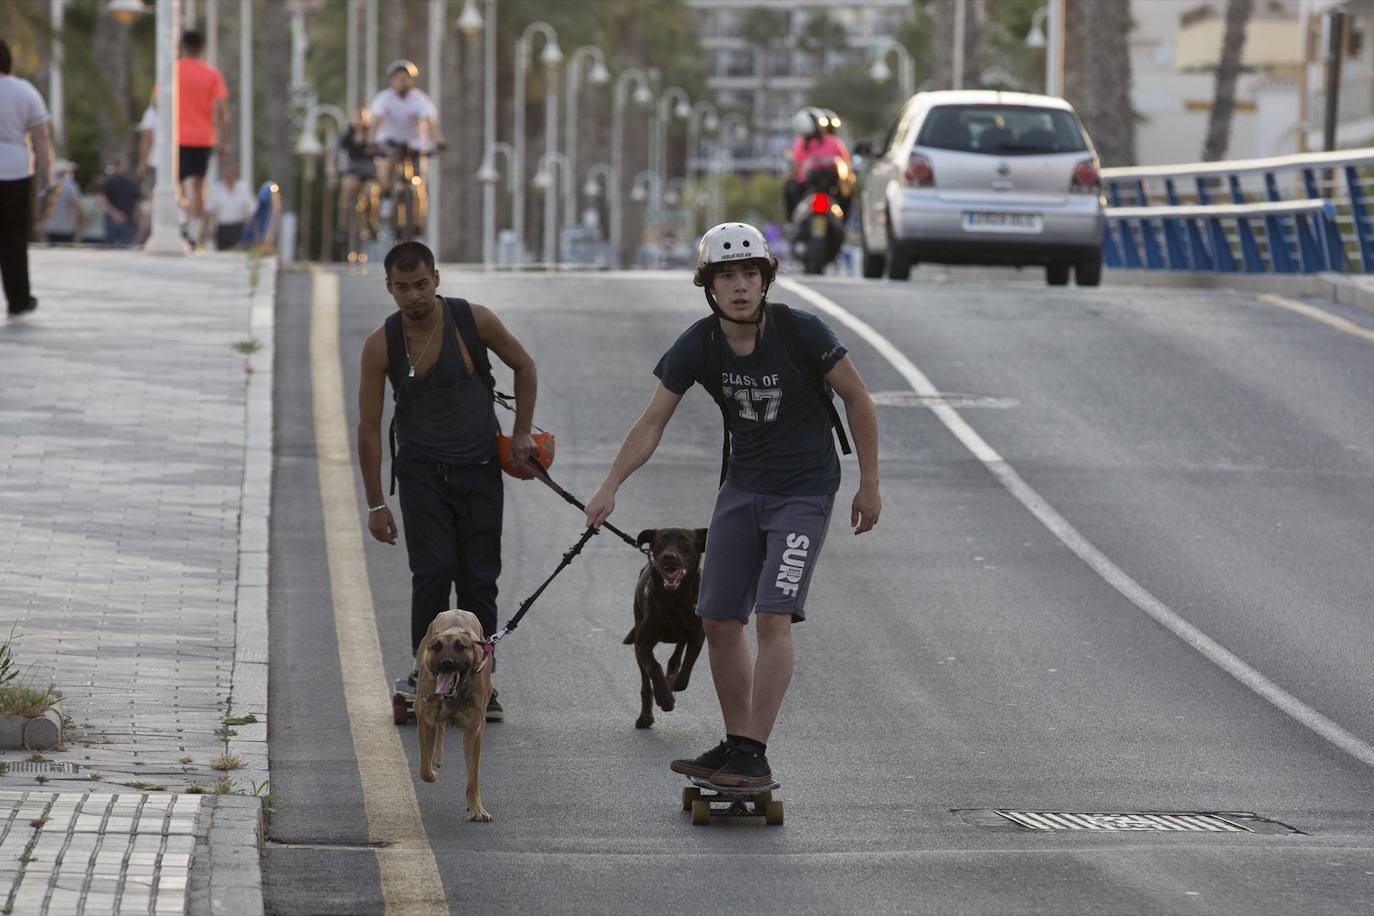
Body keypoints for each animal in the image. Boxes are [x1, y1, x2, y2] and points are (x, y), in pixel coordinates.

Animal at [417, 609, 494, 823]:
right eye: (436, 647)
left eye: (460, 647)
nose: (446, 663)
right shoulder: (425, 719)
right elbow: (424, 769)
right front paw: (432, 772)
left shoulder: (474, 732)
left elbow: (473, 779)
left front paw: (476, 809)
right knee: (439, 726)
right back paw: (436, 758)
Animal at [623, 530, 708, 730]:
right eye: (661, 539)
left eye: (685, 540)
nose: (668, 557)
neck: (674, 600)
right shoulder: (642, 643)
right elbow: (654, 667)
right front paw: (664, 698)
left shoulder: (697, 636)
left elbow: (687, 666)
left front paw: (673, 684)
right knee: (646, 682)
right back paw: (645, 717)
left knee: (676, 658)